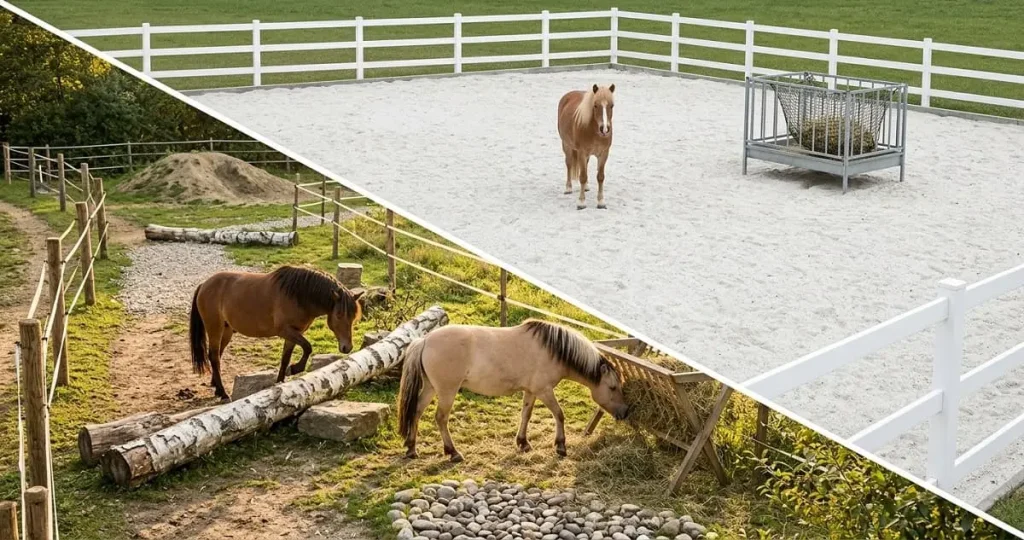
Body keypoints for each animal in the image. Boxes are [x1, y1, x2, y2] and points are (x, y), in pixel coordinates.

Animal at [188, 265, 364, 400]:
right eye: (339, 315)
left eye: (353, 316)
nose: (347, 347)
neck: (298, 295)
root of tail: (204, 284)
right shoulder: (285, 330)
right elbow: (308, 347)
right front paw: (296, 368)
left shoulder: (294, 333)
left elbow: (285, 358)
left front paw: (280, 382)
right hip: (215, 328)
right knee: (214, 357)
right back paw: (223, 393)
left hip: (226, 331)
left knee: (216, 355)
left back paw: (216, 387)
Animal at [396, 318, 629, 462]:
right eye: (612, 387)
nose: (625, 412)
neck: (553, 350)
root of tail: (425, 340)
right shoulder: (544, 391)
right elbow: (559, 414)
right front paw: (561, 446)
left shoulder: (531, 391)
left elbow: (526, 414)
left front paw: (523, 443)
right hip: (447, 391)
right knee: (441, 418)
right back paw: (453, 452)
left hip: (430, 388)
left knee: (417, 411)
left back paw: (411, 448)